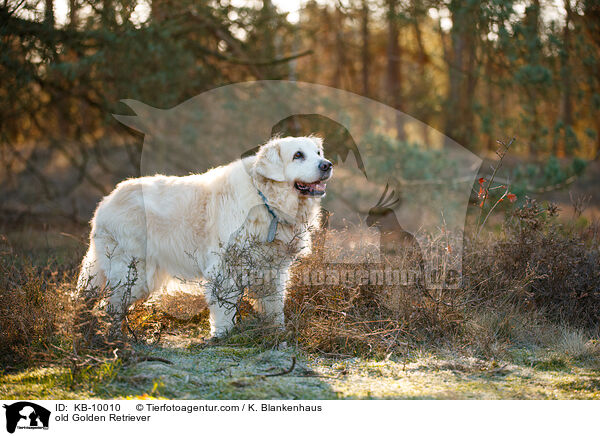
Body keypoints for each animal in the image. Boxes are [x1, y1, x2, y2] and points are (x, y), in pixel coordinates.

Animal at [77, 137, 332, 338]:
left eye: (318, 153)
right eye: (298, 155)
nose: (327, 165)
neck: (265, 200)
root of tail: (106, 201)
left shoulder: (272, 271)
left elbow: (274, 308)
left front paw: (277, 334)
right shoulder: (224, 269)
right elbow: (224, 309)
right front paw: (223, 337)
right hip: (134, 274)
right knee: (110, 307)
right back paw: (113, 339)